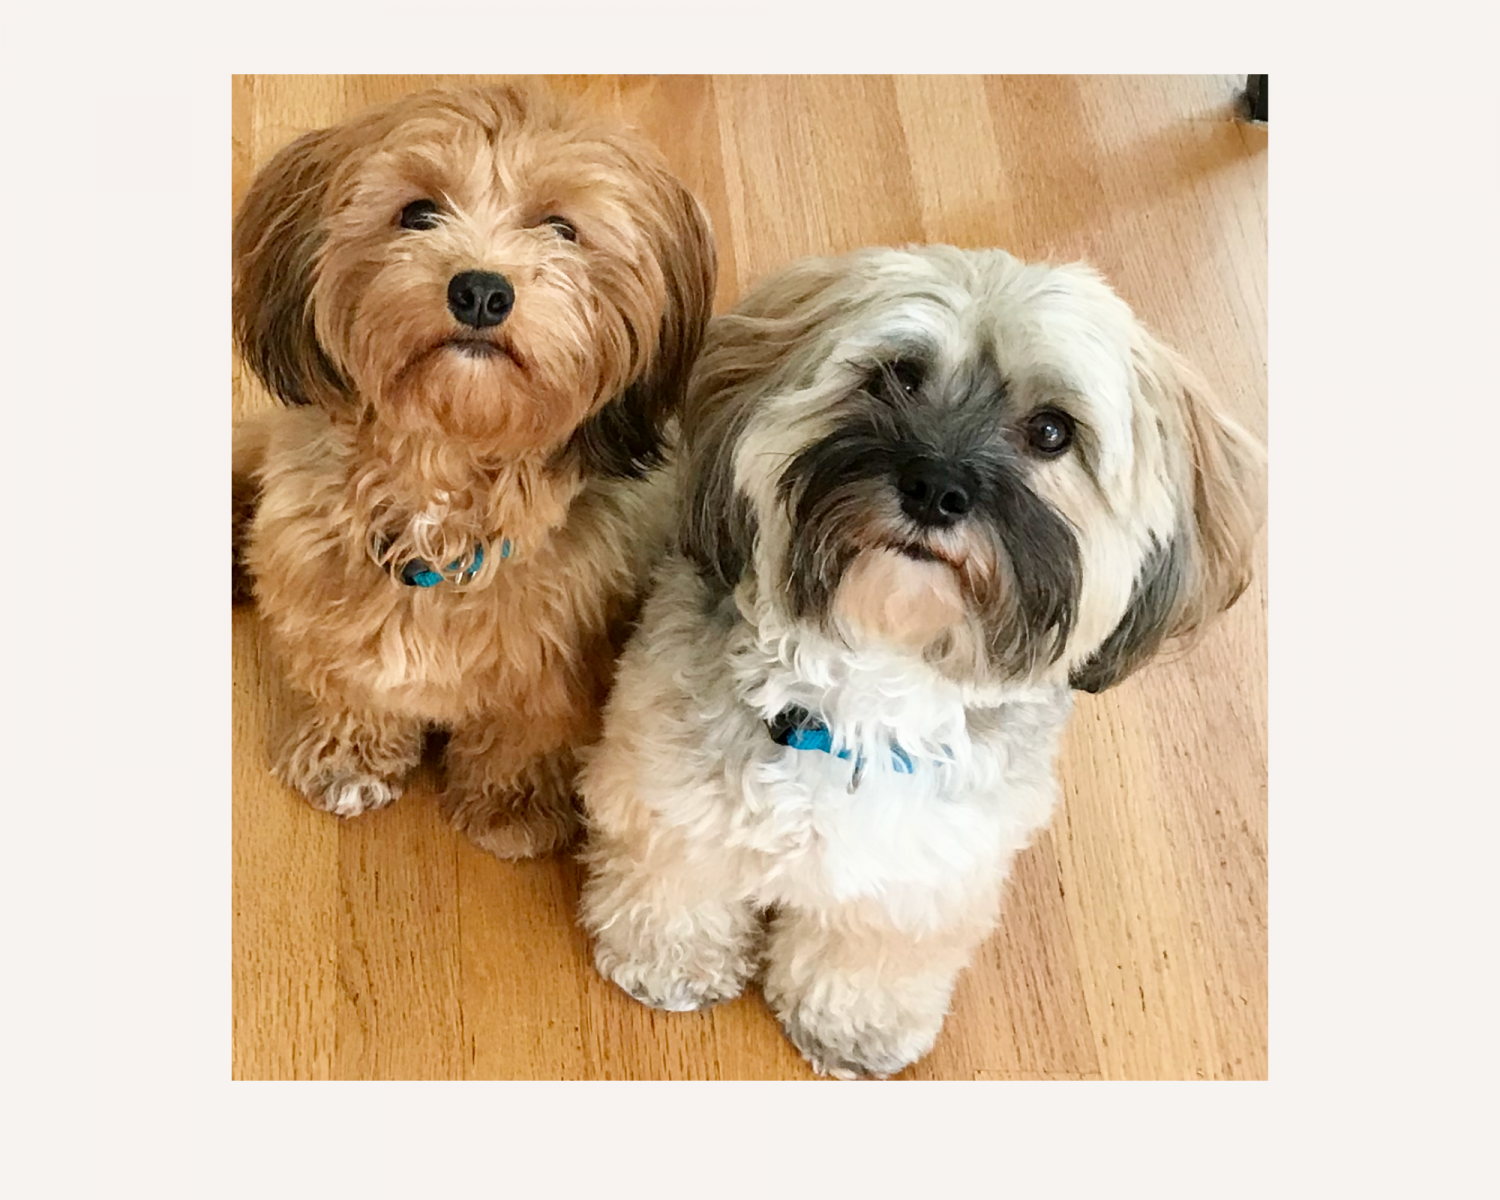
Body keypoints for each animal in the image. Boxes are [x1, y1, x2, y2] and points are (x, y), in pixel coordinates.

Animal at [235, 82, 720, 852]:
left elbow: (527, 724)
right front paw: (350, 758)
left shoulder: (559, 651)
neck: (445, 467)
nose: (481, 291)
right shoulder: (313, 585)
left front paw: (511, 803)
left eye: (561, 228)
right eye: (417, 213)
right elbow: (348, 684)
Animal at [573, 243, 1266, 1080]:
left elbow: (875, 950)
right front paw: (670, 958)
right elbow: (678, 869)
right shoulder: (670, 781)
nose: (937, 487)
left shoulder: (927, 873)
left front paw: (856, 1024)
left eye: (1052, 431)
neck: (874, 675)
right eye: (899, 376)